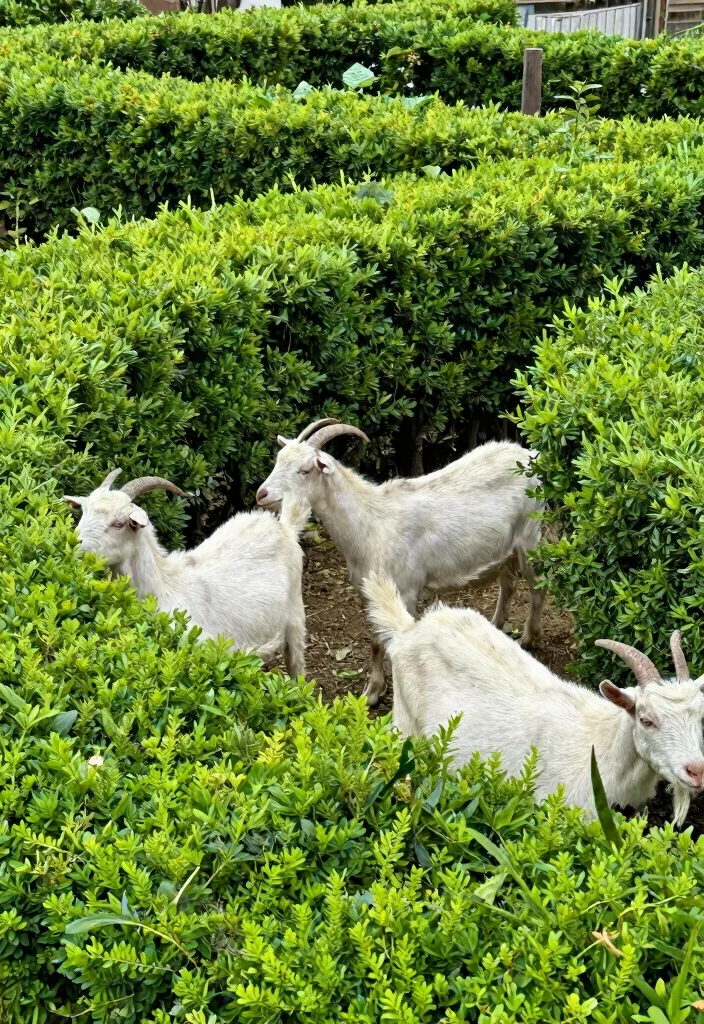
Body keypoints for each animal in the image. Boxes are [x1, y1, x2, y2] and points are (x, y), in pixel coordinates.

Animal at [64, 469, 308, 677]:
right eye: (84, 511)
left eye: (119, 523)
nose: (74, 548)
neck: (163, 588)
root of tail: (285, 527)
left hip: (295, 619)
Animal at [256, 418, 544, 705]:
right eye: (278, 460)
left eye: (305, 470)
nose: (261, 494)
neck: (371, 522)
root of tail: (529, 455)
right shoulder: (370, 590)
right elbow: (375, 641)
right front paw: (372, 693)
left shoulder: (406, 591)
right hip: (506, 549)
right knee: (508, 585)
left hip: (531, 537)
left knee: (537, 589)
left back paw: (528, 639)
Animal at [362, 572, 704, 825]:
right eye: (645, 719)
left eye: (701, 718)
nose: (697, 771)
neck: (603, 746)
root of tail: (408, 630)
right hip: (406, 725)